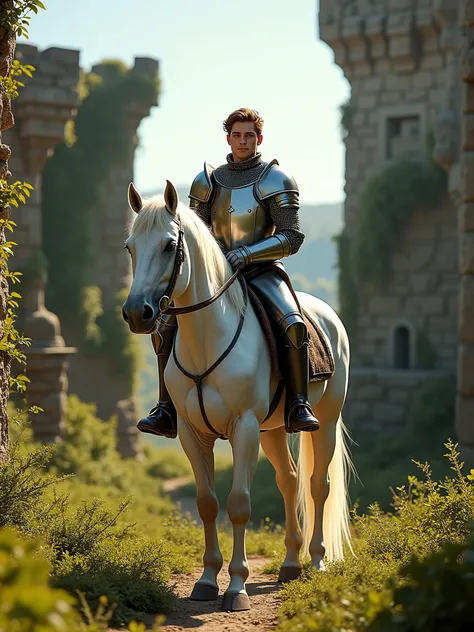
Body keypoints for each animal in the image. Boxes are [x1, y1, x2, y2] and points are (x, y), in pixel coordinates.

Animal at [123, 180, 356, 608]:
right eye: (130, 247)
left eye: (169, 245)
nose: (137, 313)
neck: (206, 338)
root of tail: (328, 314)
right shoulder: (192, 433)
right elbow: (207, 503)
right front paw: (206, 580)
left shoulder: (244, 427)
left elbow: (239, 505)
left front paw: (236, 586)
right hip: (275, 429)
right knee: (289, 480)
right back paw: (291, 563)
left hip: (326, 420)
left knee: (318, 484)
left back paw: (316, 561)